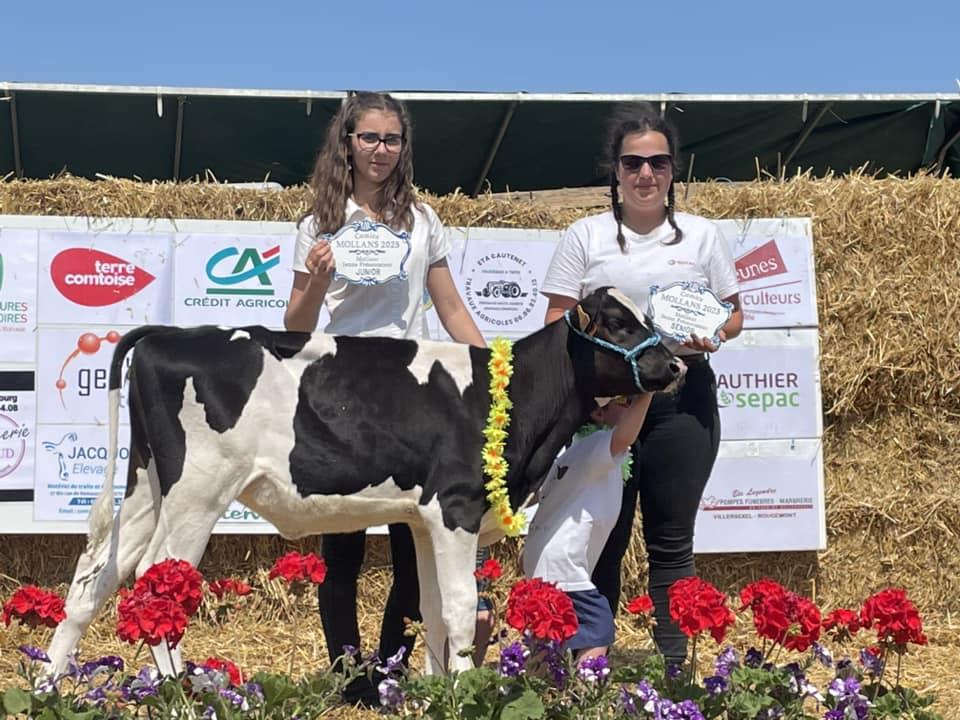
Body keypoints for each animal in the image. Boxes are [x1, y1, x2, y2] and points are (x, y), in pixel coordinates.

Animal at [47, 286, 684, 676]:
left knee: (93, 578)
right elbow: (459, 606)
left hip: (148, 484)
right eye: (618, 322)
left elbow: (430, 607)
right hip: (197, 491)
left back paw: (51, 683)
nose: (677, 363)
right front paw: (466, 690)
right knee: (156, 583)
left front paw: (437, 693)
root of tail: (168, 334)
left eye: (646, 317)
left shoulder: (424, 520)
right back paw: (178, 690)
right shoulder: (455, 508)